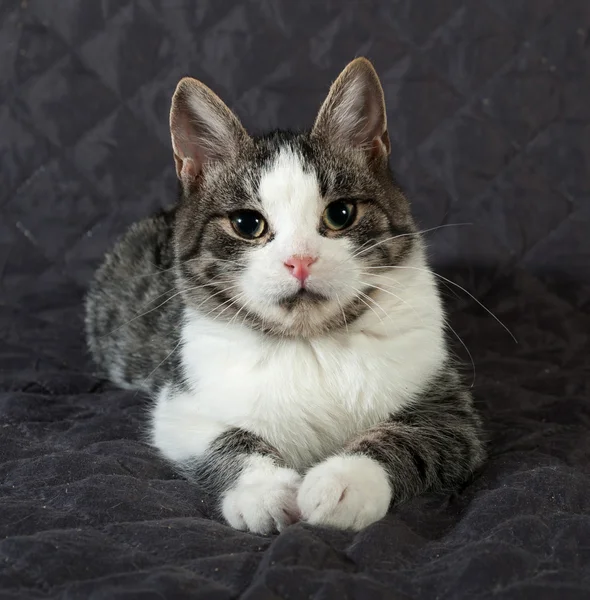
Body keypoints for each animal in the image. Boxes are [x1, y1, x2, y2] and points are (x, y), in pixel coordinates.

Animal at [86, 57, 486, 536]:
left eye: (341, 214)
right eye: (247, 223)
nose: (300, 260)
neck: (310, 343)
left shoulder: (450, 410)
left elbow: (410, 437)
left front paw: (345, 481)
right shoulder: (180, 405)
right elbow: (225, 437)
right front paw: (264, 490)